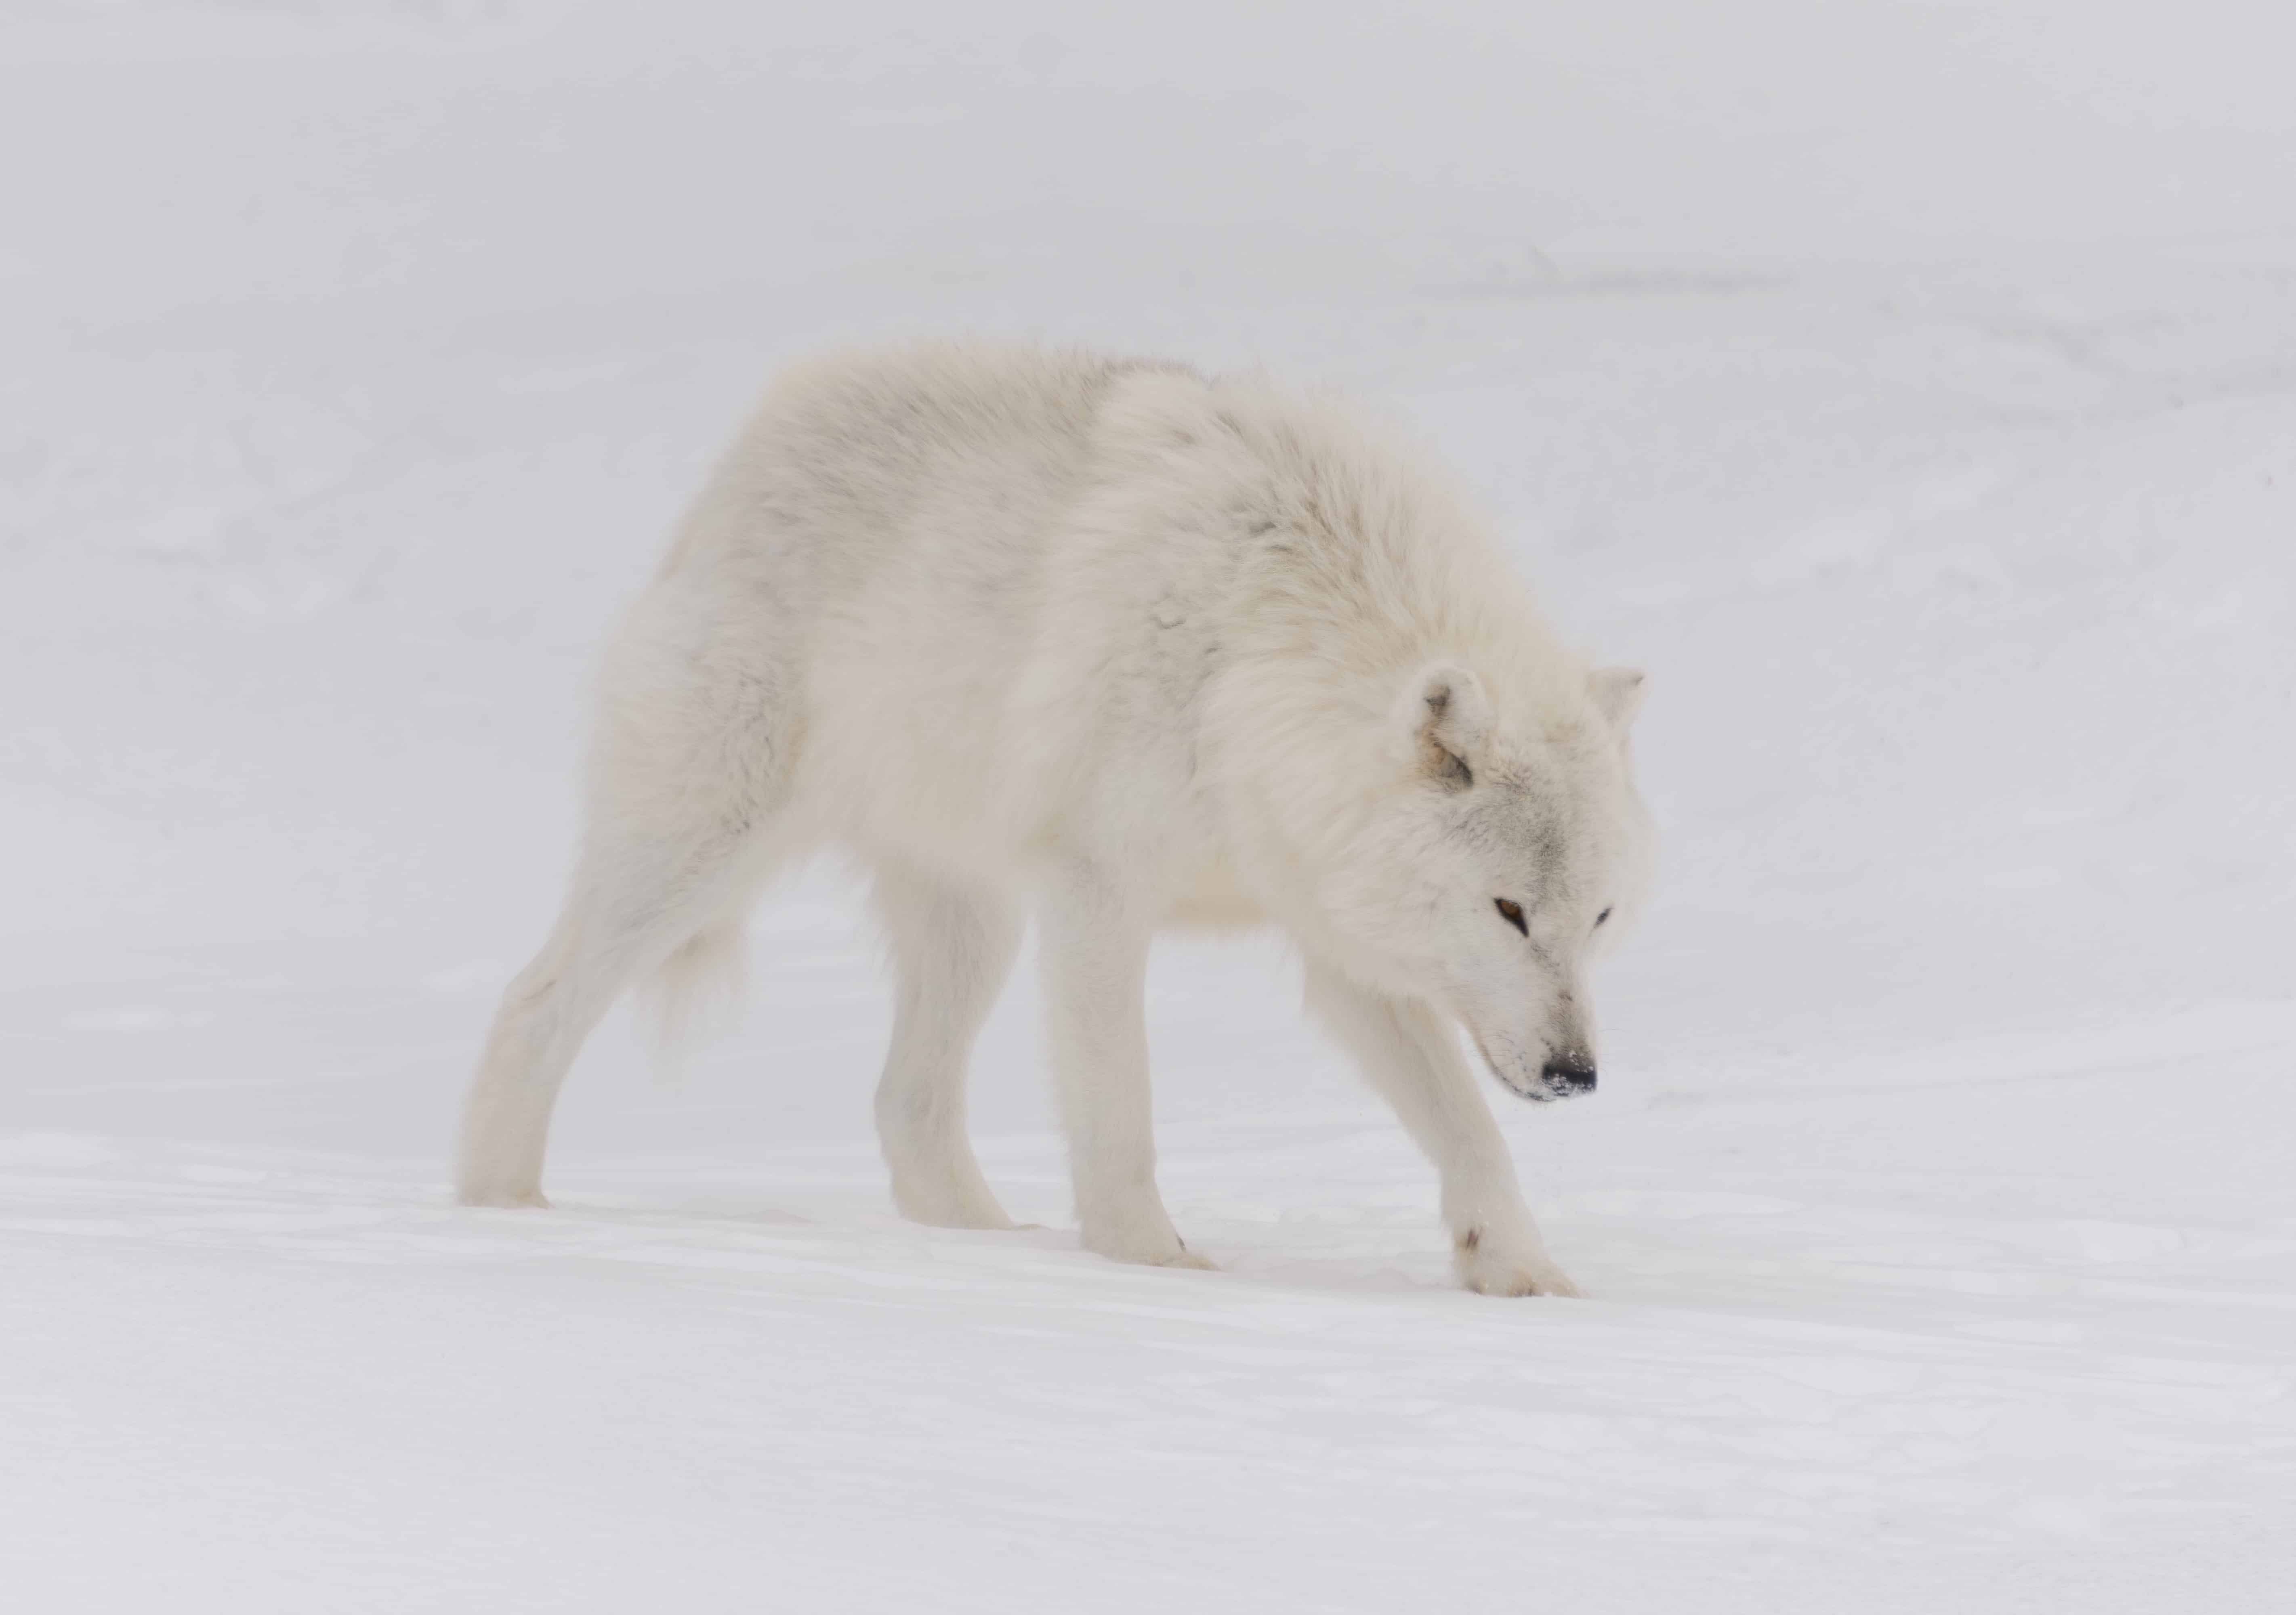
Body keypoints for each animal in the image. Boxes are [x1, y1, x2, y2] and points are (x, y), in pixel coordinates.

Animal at [457, 342, 1652, 1297]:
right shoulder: (1096, 896)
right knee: (533, 1005)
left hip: (974, 924)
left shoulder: (1339, 942)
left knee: (906, 1103)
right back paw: (497, 1216)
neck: (1253, 655)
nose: (1575, 1075)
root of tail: (752, 444)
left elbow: (1471, 1133)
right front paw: (1150, 1262)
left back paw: (986, 1243)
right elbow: (1119, 1108)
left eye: (1597, 920)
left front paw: (1524, 1277)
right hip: (702, 853)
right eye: (1508, 911)